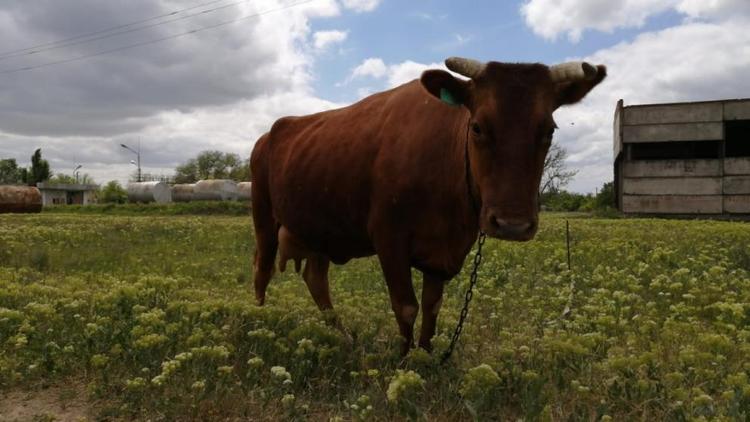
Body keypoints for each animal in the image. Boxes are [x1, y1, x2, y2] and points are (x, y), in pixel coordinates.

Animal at [251, 56, 604, 352]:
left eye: (549, 130)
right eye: (477, 126)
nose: (512, 224)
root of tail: (269, 133)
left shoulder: (446, 252)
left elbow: (432, 306)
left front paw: (426, 355)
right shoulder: (389, 239)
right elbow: (406, 306)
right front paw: (403, 358)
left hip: (320, 228)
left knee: (316, 279)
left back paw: (342, 335)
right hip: (263, 217)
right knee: (262, 269)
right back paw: (257, 321)